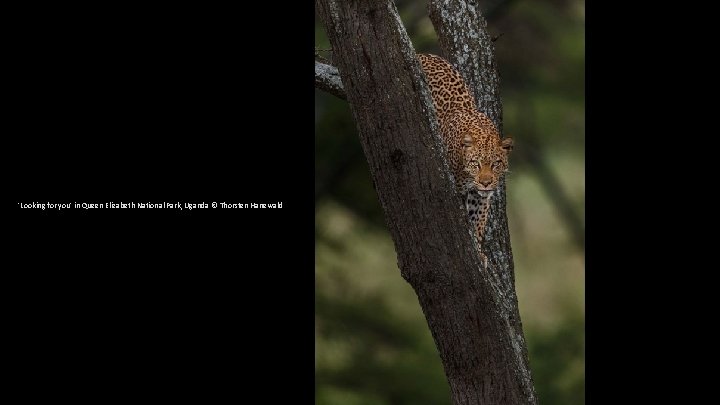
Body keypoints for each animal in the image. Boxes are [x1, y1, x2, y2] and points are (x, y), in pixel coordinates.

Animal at [416, 52, 512, 262]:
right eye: (476, 164)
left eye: (496, 164)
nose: (485, 183)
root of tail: (423, 54)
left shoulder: (480, 196)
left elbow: (478, 220)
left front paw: (478, 250)